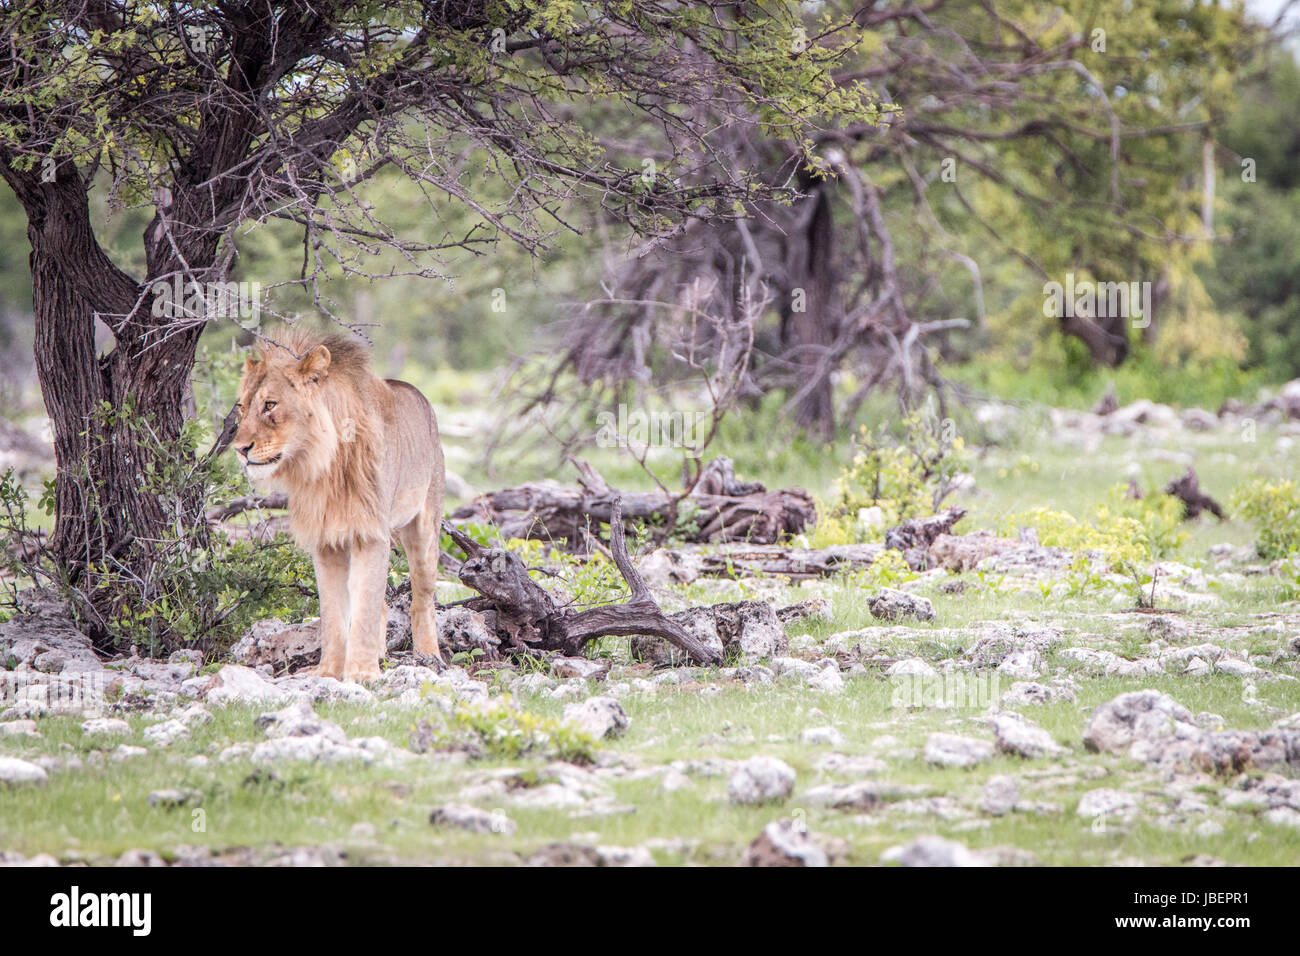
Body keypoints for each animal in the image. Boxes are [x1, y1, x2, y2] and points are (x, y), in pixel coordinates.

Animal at [226, 327, 444, 681]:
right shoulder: (325, 539)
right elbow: (333, 612)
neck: (320, 463)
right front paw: (328, 672)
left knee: (422, 599)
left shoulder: (371, 533)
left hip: (424, 530)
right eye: (242, 408)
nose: (239, 449)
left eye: (270, 405)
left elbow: (365, 606)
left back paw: (429, 656)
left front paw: (362, 674)